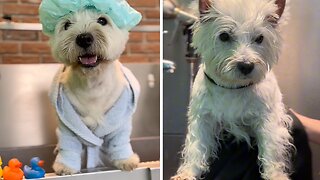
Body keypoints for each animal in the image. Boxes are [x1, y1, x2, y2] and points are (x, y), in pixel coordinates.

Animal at [38, 0, 141, 175]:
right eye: (67, 25)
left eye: (102, 20)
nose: (84, 38)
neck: (92, 84)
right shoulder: (68, 126)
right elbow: (69, 146)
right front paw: (65, 166)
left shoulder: (119, 123)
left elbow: (119, 142)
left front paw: (126, 161)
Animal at [174, 0, 294, 180]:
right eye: (224, 36)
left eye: (259, 38)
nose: (246, 66)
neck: (233, 86)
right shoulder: (203, 117)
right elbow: (197, 146)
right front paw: (188, 173)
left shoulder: (267, 118)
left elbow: (271, 148)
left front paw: (275, 175)